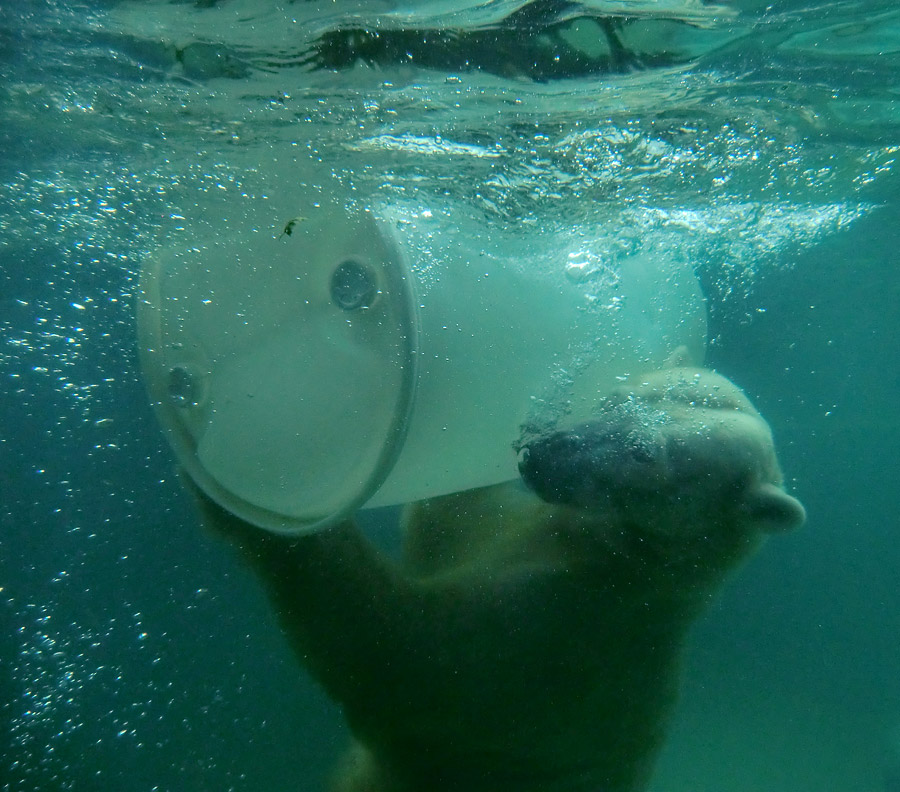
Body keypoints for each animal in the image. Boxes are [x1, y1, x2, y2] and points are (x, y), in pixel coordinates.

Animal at [193, 366, 804, 792]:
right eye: (613, 399)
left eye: (643, 453)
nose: (545, 452)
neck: (632, 563)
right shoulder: (519, 530)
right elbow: (443, 523)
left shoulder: (564, 632)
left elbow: (404, 653)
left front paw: (251, 495)